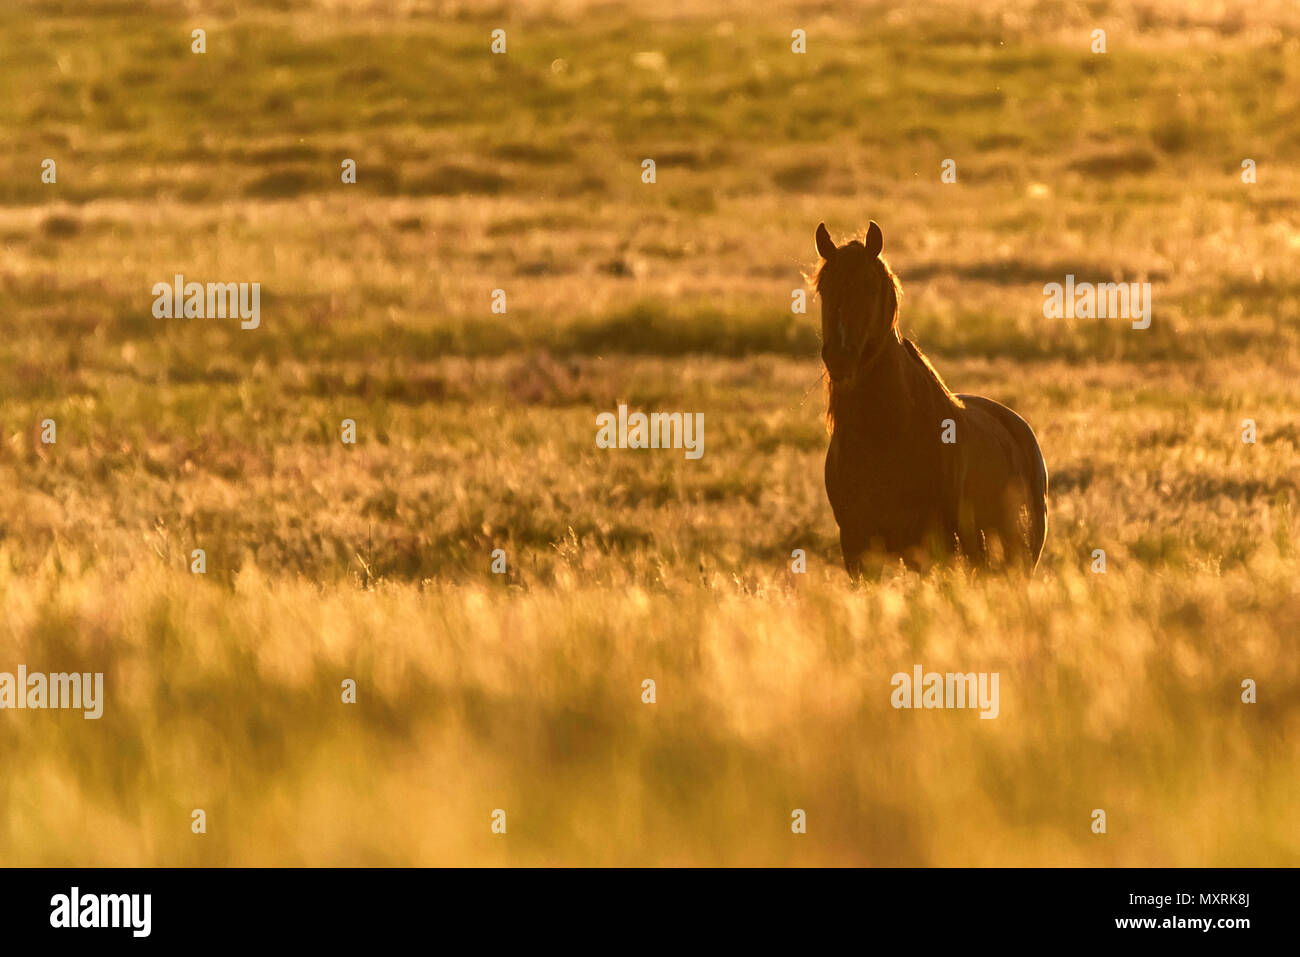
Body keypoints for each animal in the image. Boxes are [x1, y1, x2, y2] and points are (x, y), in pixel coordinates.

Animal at [812, 220, 1048, 577]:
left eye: (870, 287)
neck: (883, 438)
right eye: (824, 289)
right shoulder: (857, 549)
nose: (840, 357)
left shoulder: (934, 545)